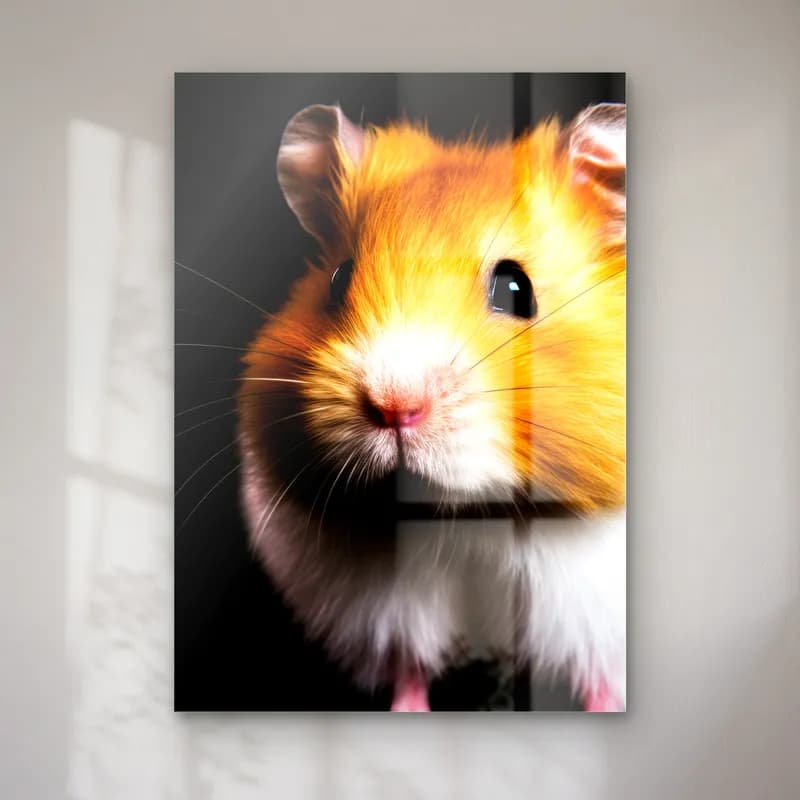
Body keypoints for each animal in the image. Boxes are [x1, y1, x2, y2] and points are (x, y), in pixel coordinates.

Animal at [237, 102, 626, 711]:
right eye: (338, 280)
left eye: (516, 290)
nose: (394, 406)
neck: (469, 514)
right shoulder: (390, 612)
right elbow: (410, 675)